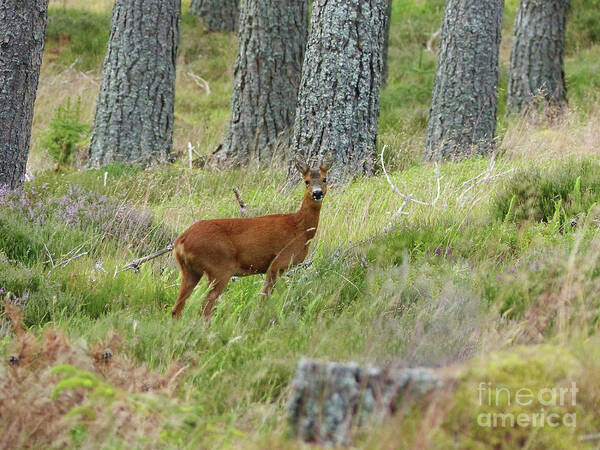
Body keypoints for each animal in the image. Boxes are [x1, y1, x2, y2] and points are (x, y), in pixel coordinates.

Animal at [171, 153, 336, 318]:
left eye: (324, 179)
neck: (299, 228)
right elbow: (264, 298)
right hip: (220, 268)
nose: (317, 193)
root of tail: (180, 242)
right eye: (306, 181)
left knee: (176, 309)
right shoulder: (279, 262)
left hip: (190, 271)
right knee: (204, 309)